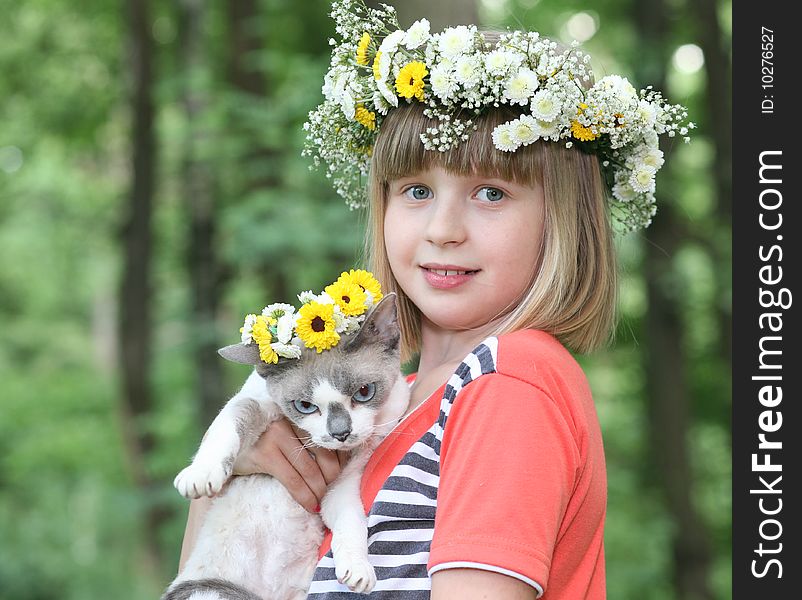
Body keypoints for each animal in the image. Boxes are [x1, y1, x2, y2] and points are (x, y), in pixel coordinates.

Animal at [165, 294, 410, 600]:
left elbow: (351, 519)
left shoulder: (343, 482)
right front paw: (201, 475)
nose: (340, 433)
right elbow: (227, 425)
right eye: (305, 406)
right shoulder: (254, 403)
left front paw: (357, 569)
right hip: (209, 590)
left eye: (364, 392)